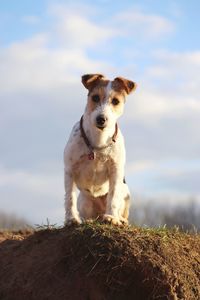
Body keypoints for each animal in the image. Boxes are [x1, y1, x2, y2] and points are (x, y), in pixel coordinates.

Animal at [63, 74, 137, 225]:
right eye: (95, 97)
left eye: (115, 101)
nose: (101, 119)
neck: (98, 141)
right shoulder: (69, 169)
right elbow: (69, 198)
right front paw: (71, 219)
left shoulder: (116, 170)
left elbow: (113, 196)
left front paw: (111, 217)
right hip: (84, 200)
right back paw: (89, 220)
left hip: (125, 192)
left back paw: (119, 219)